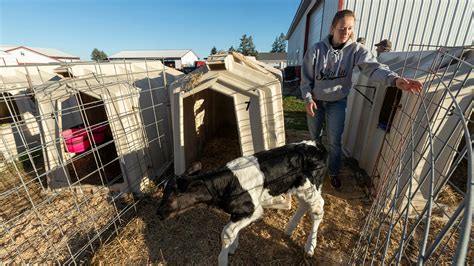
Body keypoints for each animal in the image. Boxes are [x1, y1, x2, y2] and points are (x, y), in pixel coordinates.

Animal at [157, 140, 328, 264]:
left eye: (171, 196)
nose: (158, 213)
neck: (226, 184)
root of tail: (316, 145)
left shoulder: (253, 210)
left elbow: (226, 232)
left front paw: (223, 259)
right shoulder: (238, 212)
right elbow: (232, 230)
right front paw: (232, 247)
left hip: (310, 188)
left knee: (318, 209)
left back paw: (310, 246)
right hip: (299, 187)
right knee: (304, 205)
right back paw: (289, 229)